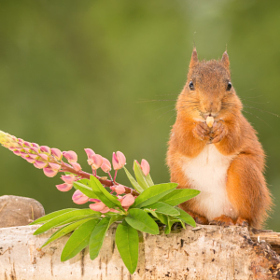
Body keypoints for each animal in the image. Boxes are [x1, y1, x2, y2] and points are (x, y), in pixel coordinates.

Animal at [167, 49, 272, 229]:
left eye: (229, 85)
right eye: (191, 84)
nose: (210, 107)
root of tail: (214, 214)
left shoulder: (239, 127)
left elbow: (232, 140)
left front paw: (222, 130)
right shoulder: (178, 129)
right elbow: (185, 142)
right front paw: (197, 130)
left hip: (245, 173)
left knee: (247, 215)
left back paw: (236, 220)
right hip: (180, 180)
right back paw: (197, 217)